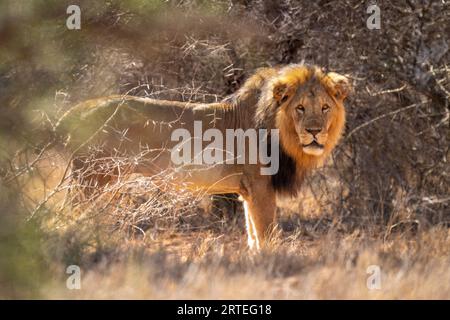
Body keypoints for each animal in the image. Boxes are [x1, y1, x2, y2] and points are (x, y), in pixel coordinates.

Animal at [55, 64, 352, 250]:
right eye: (300, 108)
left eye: (324, 107)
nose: (314, 132)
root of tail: (76, 111)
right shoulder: (260, 186)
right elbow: (267, 235)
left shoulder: (249, 191)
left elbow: (253, 236)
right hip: (92, 178)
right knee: (69, 213)